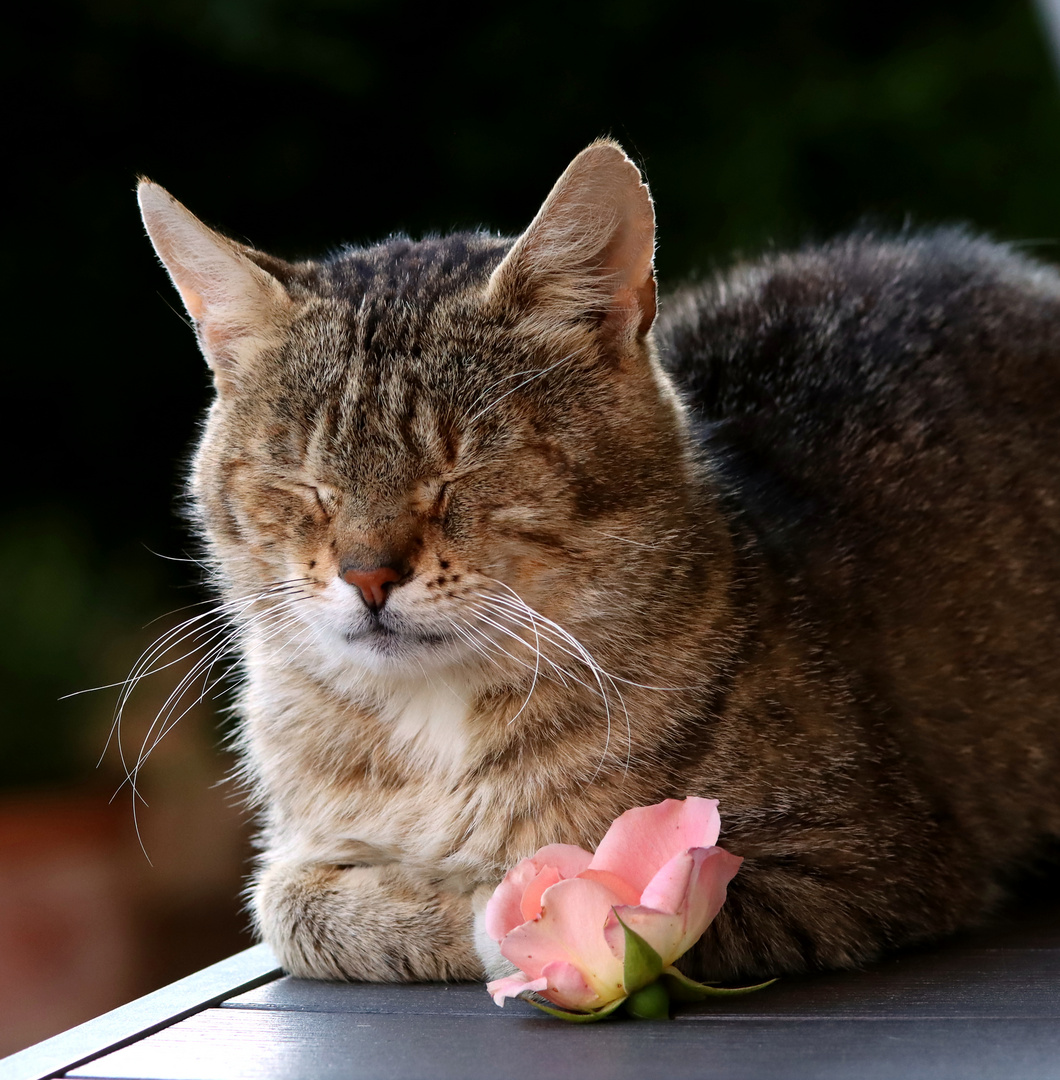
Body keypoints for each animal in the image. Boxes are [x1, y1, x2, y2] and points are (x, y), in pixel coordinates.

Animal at [136, 143, 1058, 989]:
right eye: (302, 481)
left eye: (461, 470)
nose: (368, 576)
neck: (434, 735)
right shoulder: (297, 856)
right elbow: (288, 904)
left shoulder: (861, 862)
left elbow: (555, 903)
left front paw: (503, 903)